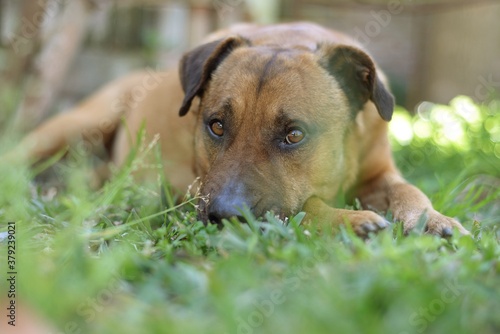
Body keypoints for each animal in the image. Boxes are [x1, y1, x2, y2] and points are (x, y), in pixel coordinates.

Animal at [8, 22, 468, 237]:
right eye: (215, 126)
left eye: (294, 134)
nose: (225, 216)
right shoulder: (191, 188)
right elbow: (306, 205)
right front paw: (351, 219)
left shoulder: (379, 172)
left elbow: (409, 190)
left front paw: (431, 220)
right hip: (75, 125)